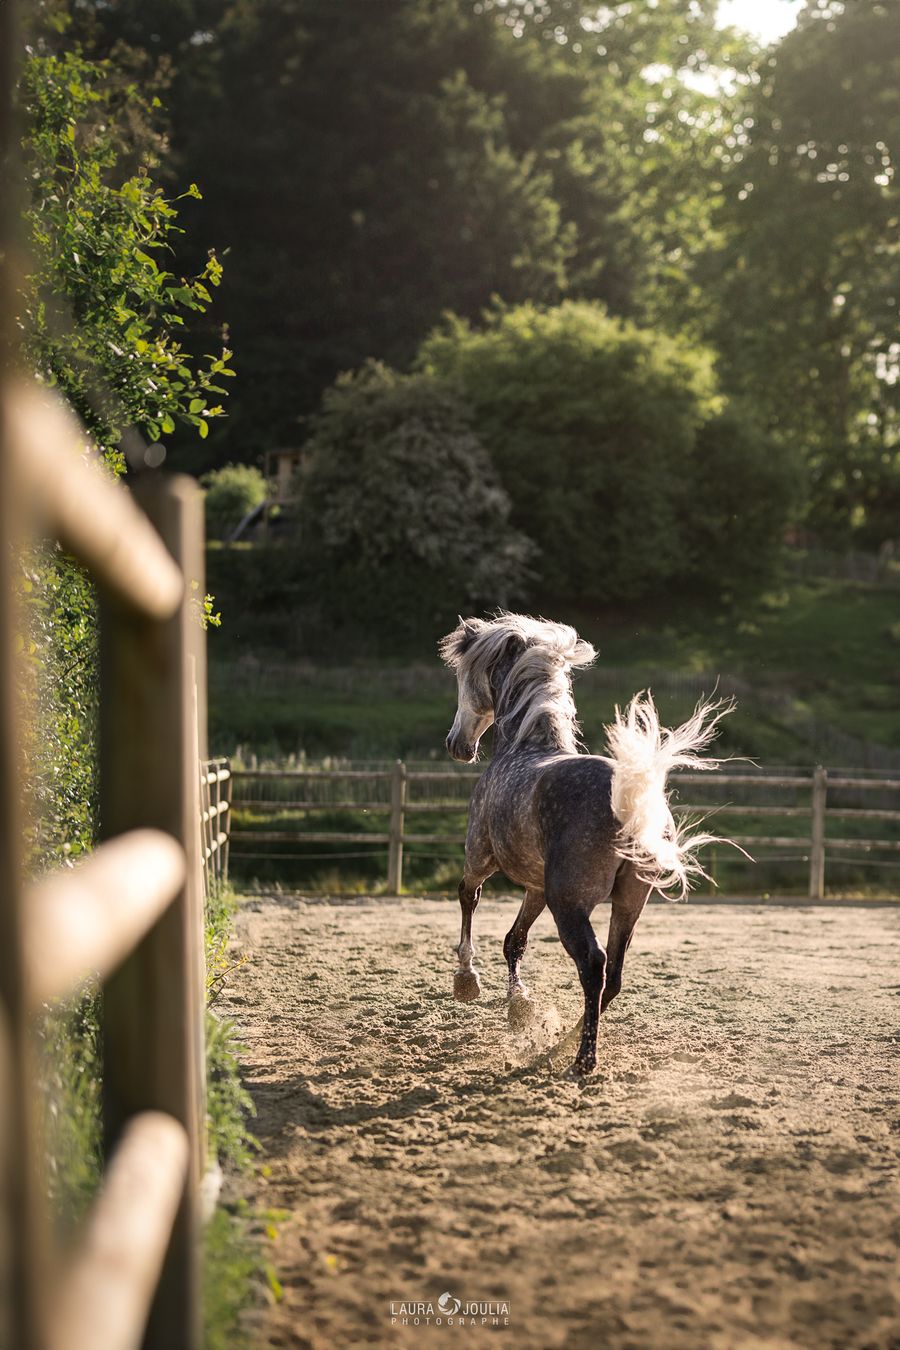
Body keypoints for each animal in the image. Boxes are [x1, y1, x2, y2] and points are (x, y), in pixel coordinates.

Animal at [439, 612, 738, 1076]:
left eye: (463, 675)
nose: (457, 745)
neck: (525, 746)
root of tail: (631, 804)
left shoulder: (481, 859)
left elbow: (468, 899)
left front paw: (468, 981)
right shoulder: (537, 887)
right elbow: (513, 941)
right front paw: (520, 1009)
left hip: (570, 905)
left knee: (593, 966)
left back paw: (583, 1060)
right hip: (628, 904)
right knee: (612, 975)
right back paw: (561, 1043)